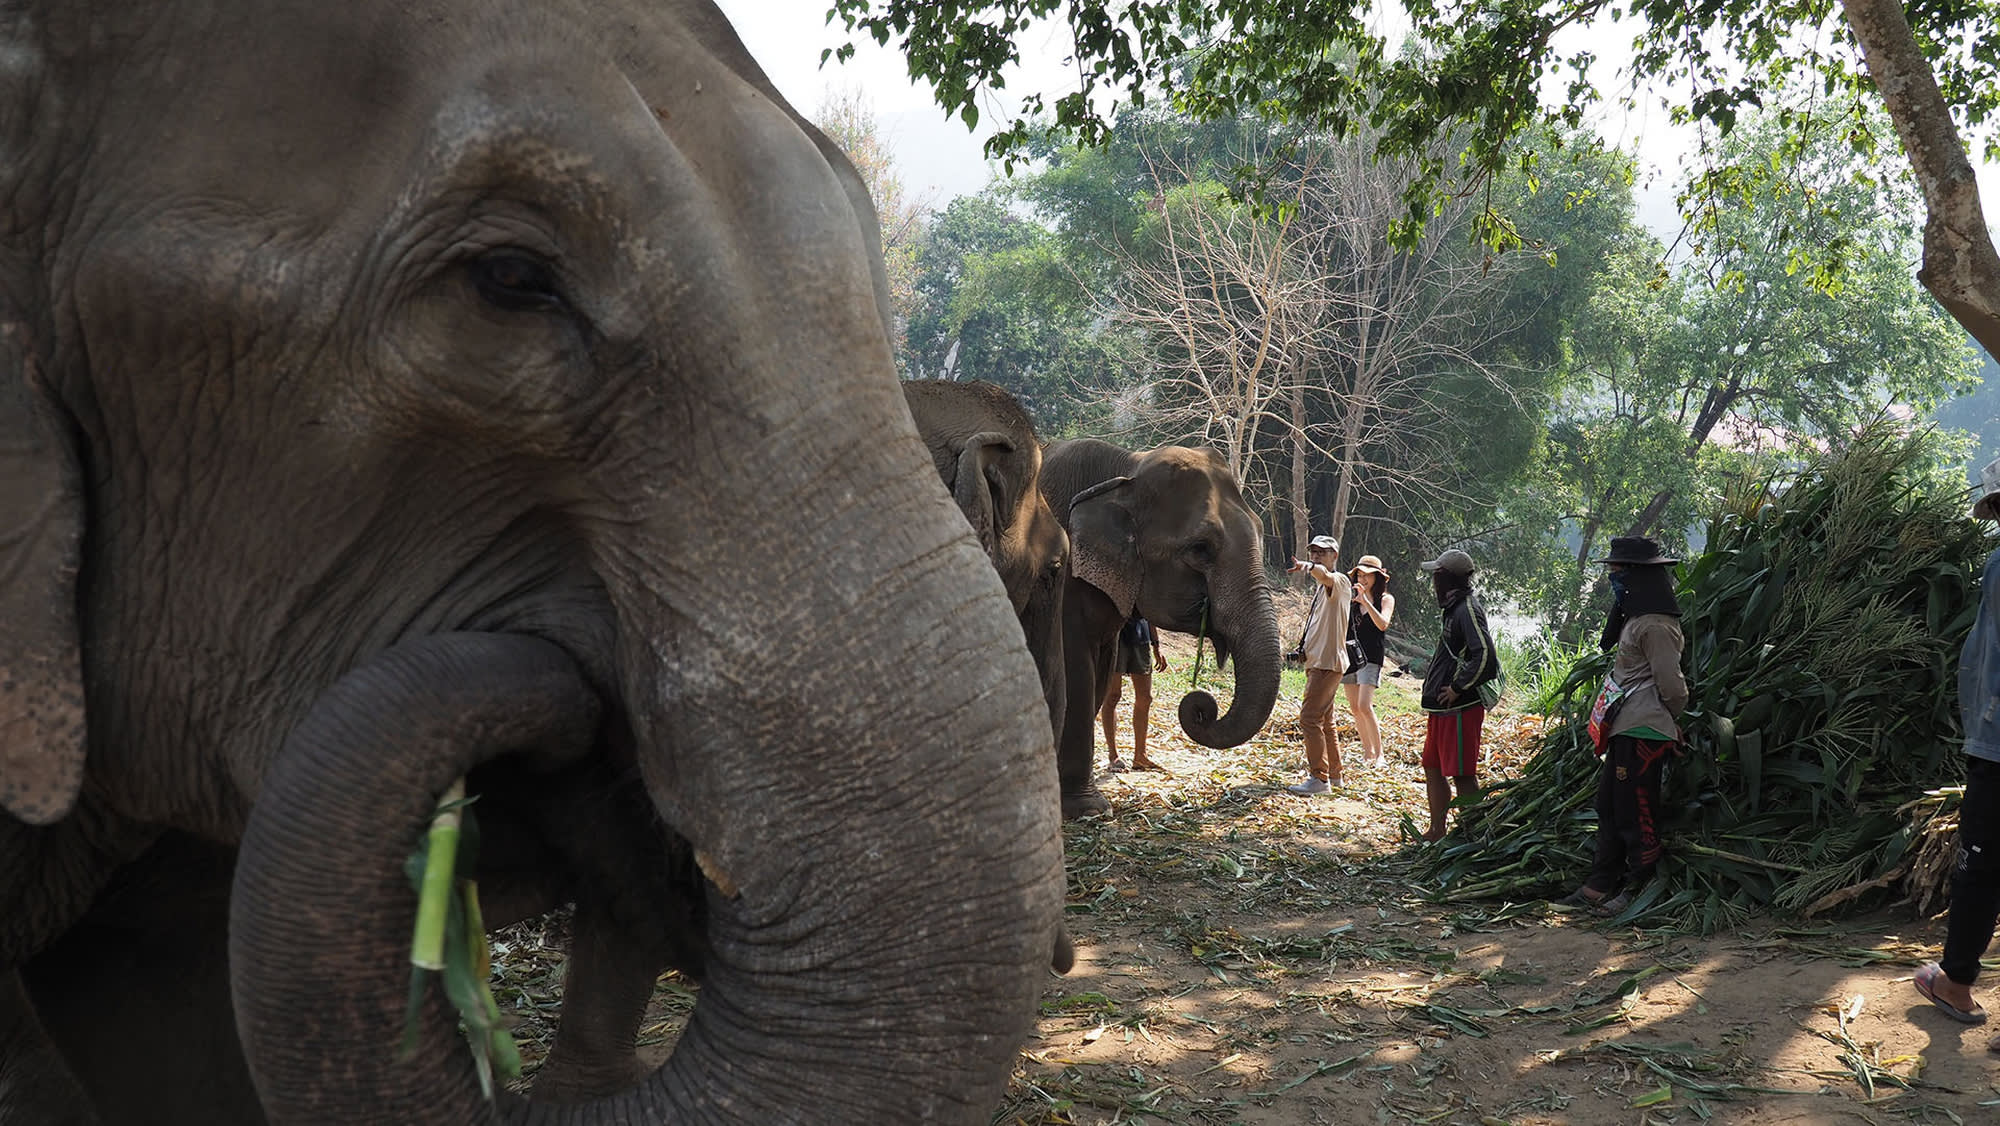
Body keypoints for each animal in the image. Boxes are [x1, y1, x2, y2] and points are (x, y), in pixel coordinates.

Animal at [1039, 439, 1283, 819]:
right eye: (1201, 549)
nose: (1202, 707)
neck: (1125, 469)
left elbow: (1098, 673)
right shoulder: (1064, 580)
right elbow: (1075, 668)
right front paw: (1089, 809)